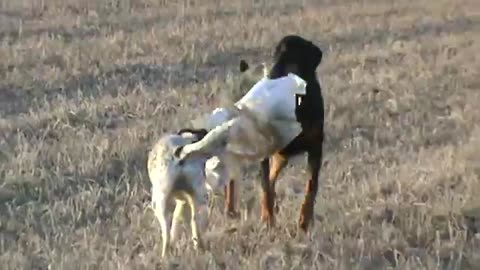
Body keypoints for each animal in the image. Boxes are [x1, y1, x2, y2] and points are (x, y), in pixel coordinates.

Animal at [258, 34, 326, 232]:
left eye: (291, 58)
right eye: (274, 56)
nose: (269, 78)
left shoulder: (315, 148)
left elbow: (311, 186)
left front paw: (304, 220)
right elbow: (265, 187)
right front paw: (268, 218)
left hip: (283, 156)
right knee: (269, 181)